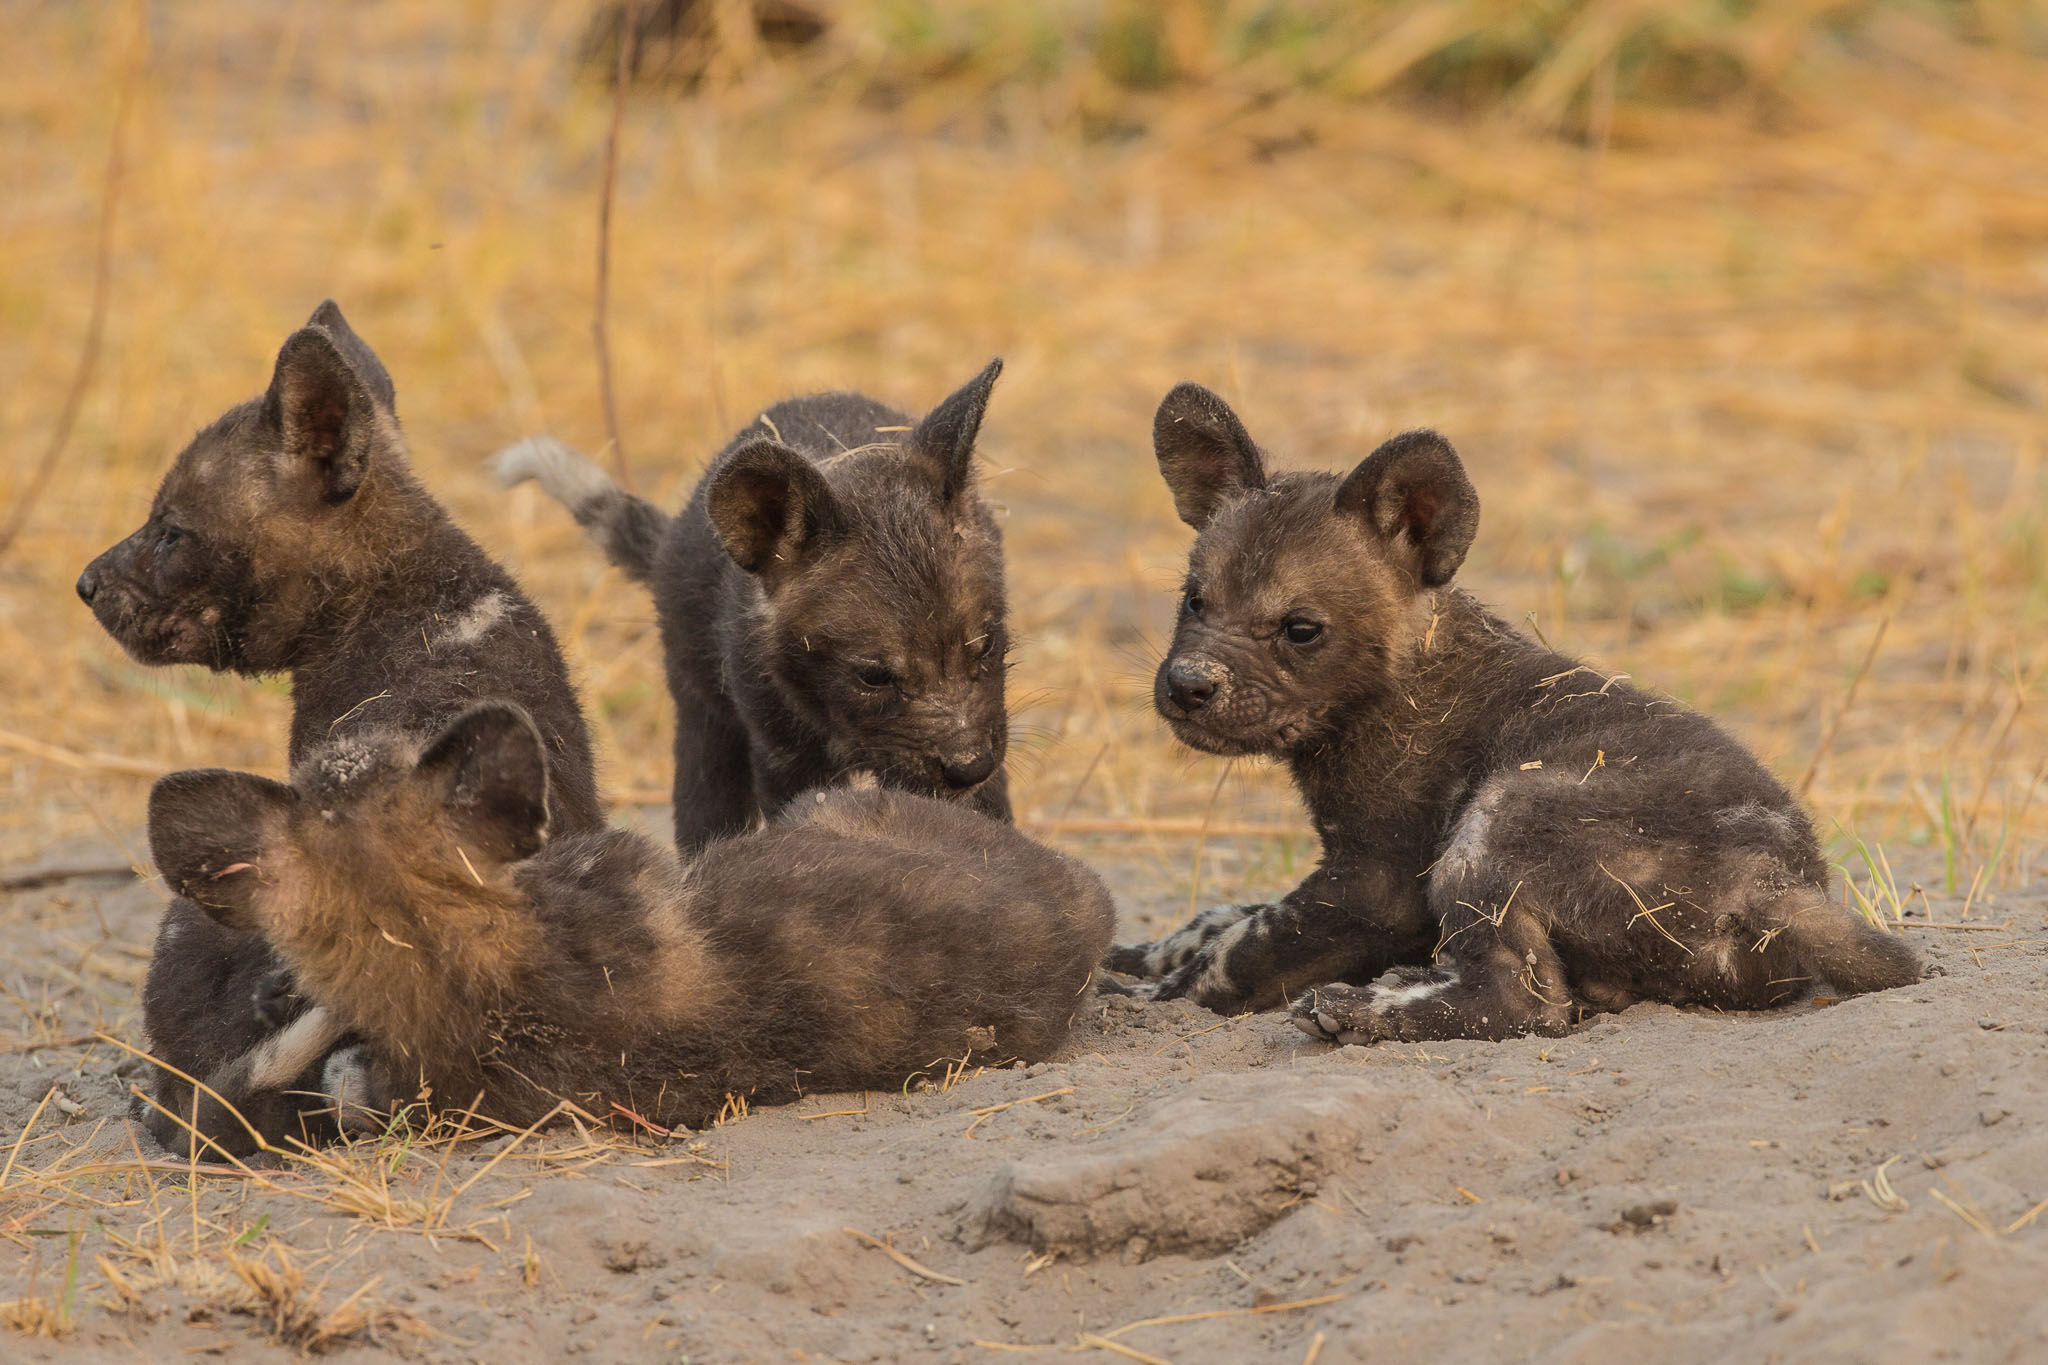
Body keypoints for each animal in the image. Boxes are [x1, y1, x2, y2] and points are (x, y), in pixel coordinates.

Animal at [1107, 383, 1920, 1042]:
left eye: (1300, 629)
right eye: (1194, 601)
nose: (1188, 683)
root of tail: (1776, 887)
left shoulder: (1373, 883)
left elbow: (1237, 949)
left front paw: (1141, 995)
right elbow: (1215, 919)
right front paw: (1132, 954)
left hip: (1498, 817)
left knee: (1527, 1002)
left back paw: (1356, 1010)